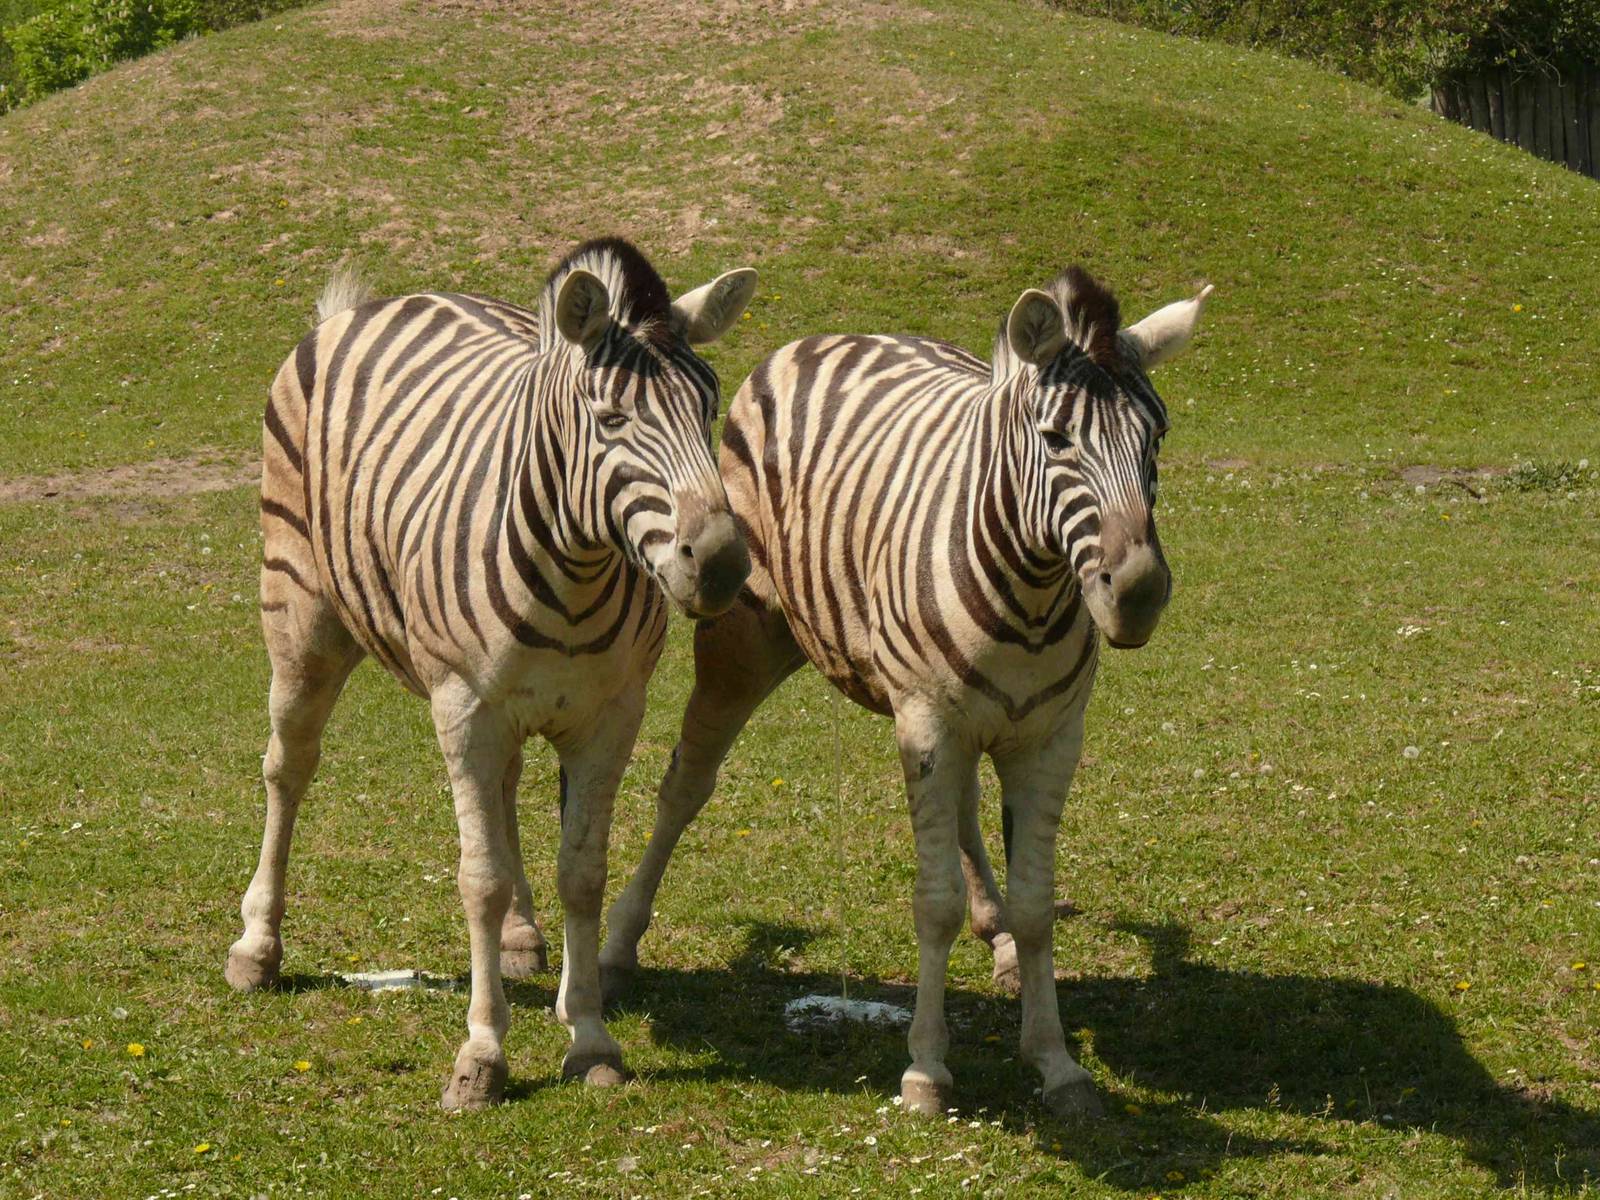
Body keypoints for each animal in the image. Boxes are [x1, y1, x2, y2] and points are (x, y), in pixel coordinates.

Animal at [224, 238, 758, 1110]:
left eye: (709, 408)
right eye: (612, 420)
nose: (720, 565)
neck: (576, 569)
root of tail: (368, 306)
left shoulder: (611, 714)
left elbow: (583, 872)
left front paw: (589, 1036)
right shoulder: (466, 707)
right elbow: (477, 879)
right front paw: (482, 1054)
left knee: (504, 797)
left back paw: (520, 937)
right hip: (301, 618)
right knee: (287, 769)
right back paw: (257, 947)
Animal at [599, 267, 1212, 1117]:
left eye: (1158, 437)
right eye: (1057, 439)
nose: (1139, 594)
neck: (1032, 594)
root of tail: (831, 335)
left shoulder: (1049, 737)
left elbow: (1037, 905)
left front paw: (1054, 1059)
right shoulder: (928, 724)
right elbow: (933, 901)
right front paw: (926, 1068)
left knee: (962, 814)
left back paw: (999, 939)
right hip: (744, 642)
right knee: (684, 785)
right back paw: (618, 945)